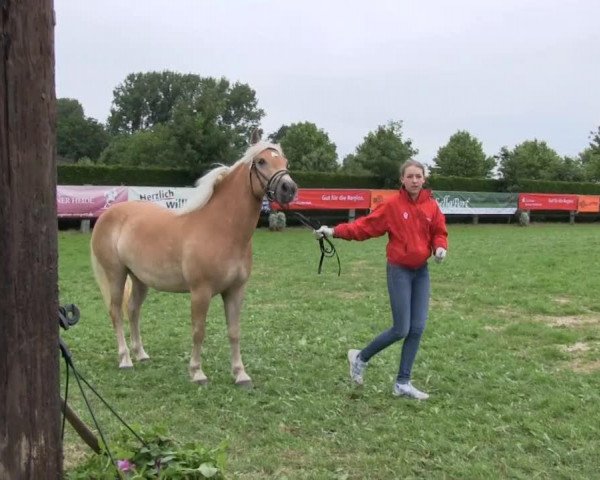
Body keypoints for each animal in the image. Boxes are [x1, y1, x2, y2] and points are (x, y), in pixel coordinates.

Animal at [91, 131, 298, 386]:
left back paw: (141, 354)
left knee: (132, 311)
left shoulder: (235, 291)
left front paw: (240, 374)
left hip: (139, 279)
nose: (289, 188)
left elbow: (234, 332)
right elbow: (199, 331)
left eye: (285, 162)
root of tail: (107, 215)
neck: (222, 229)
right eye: (261, 161)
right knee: (116, 312)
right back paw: (125, 359)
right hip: (116, 275)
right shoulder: (201, 292)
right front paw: (197, 372)